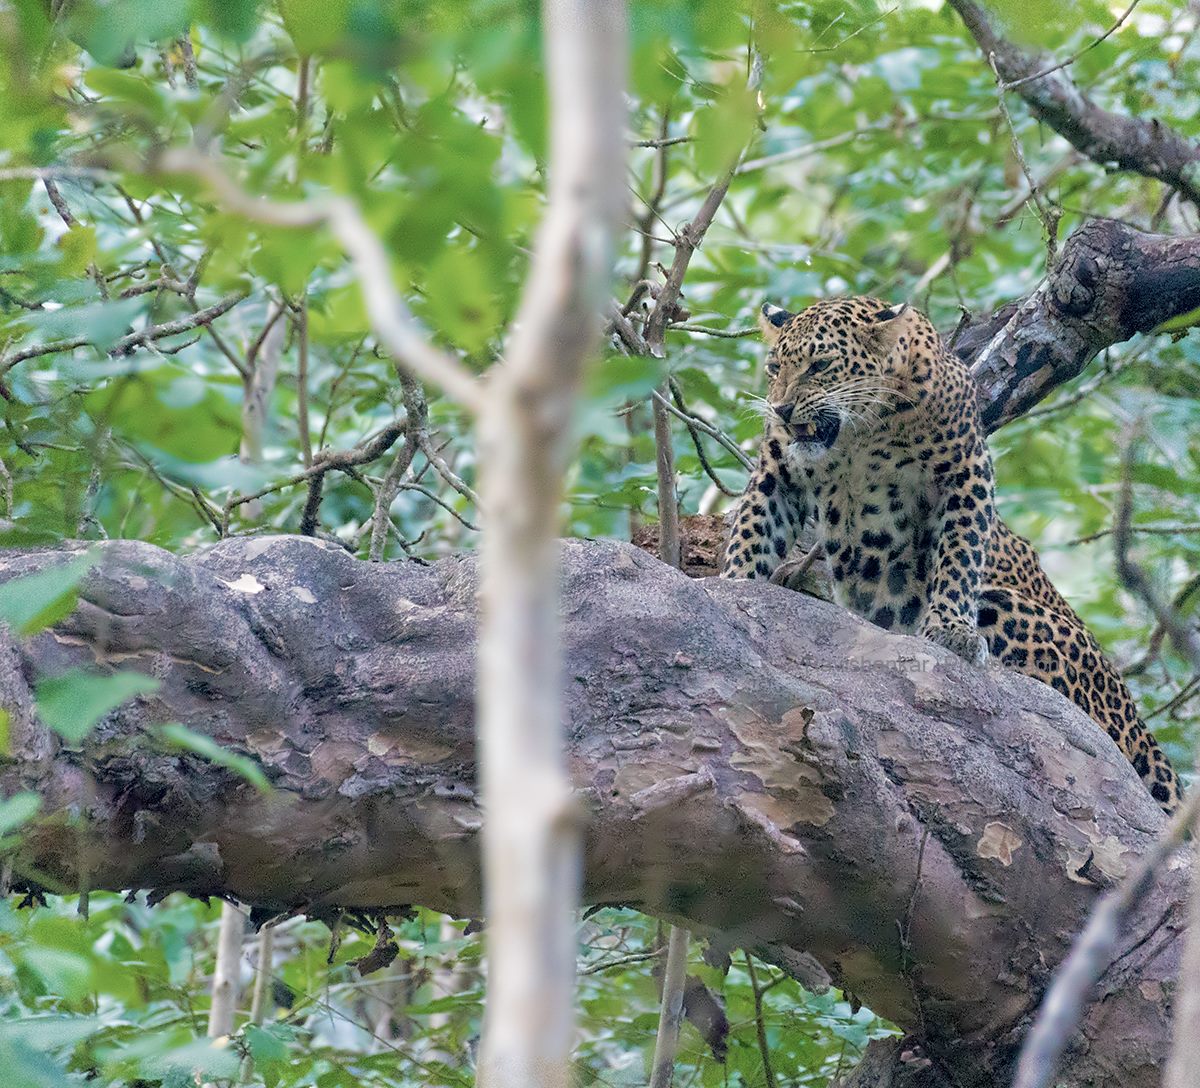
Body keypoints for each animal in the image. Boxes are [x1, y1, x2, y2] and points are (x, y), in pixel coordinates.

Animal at [721, 294, 1181, 814]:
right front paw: (734, 586)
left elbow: (960, 553)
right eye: (774, 368)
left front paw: (949, 629)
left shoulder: (965, 473)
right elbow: (753, 533)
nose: (780, 409)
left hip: (1017, 617)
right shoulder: (777, 472)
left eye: (820, 366)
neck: (859, 434)